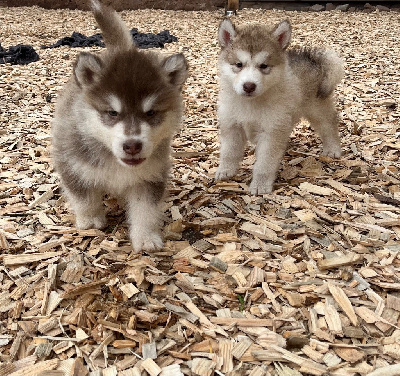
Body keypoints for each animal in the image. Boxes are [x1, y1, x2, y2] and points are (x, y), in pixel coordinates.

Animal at [52, 1, 188, 253]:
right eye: (112, 113)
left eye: (151, 113)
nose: (132, 146)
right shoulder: (72, 166)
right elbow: (84, 198)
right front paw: (90, 220)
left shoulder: (149, 177)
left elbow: (145, 211)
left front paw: (145, 237)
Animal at [216, 18, 344, 194]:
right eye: (239, 64)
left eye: (263, 66)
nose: (249, 86)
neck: (251, 104)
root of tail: (311, 58)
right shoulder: (232, 126)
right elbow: (229, 152)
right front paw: (225, 170)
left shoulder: (271, 133)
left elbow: (264, 164)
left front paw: (260, 185)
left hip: (317, 109)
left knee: (328, 126)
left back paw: (333, 148)